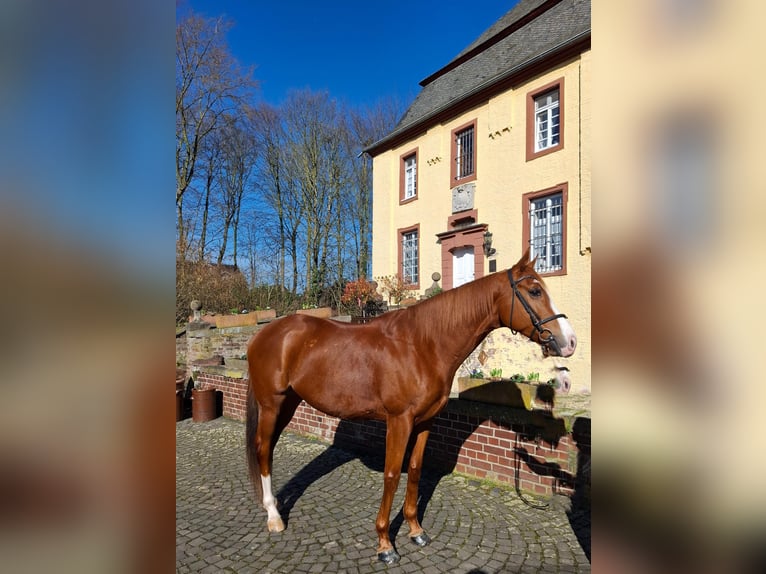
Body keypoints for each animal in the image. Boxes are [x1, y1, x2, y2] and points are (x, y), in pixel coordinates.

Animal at [246, 250, 576, 564]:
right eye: (535, 291)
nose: (569, 342)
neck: (422, 345)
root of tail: (264, 333)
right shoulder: (399, 421)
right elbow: (392, 475)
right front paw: (384, 544)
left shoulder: (425, 421)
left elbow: (415, 470)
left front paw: (416, 530)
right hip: (272, 404)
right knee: (263, 449)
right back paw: (274, 518)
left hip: (288, 403)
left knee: (269, 448)